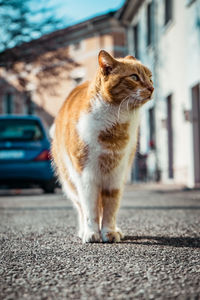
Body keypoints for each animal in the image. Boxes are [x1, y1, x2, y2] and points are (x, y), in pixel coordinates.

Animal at [50, 51, 154, 244]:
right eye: (134, 77)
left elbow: (111, 208)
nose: (152, 88)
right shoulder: (86, 176)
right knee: (81, 207)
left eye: (150, 78)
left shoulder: (116, 176)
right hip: (70, 182)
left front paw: (109, 232)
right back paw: (83, 230)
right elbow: (90, 209)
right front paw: (92, 233)